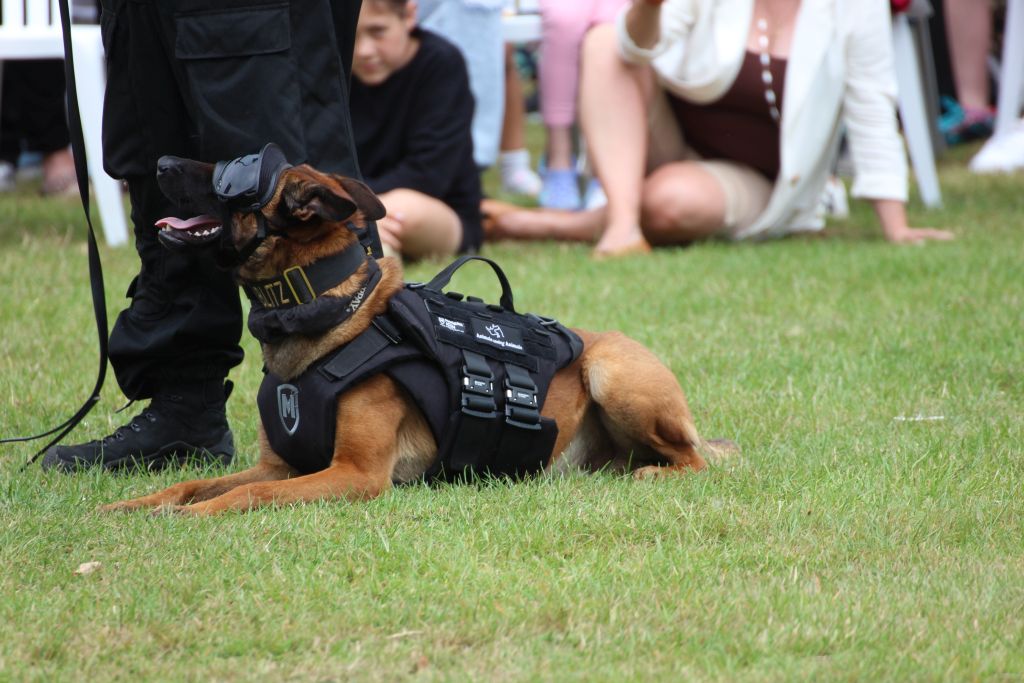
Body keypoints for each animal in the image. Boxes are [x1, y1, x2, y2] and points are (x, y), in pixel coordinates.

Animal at [102, 152, 726, 516]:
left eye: (226, 172)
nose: (157, 161)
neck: (327, 313)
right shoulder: (283, 464)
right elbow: (194, 484)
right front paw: (137, 503)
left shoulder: (354, 475)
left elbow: (250, 493)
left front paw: (195, 516)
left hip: (613, 374)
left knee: (693, 462)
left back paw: (653, 472)